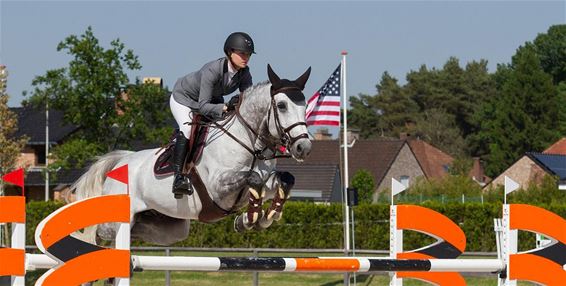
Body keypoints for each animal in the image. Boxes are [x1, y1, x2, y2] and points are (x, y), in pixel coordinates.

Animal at [71, 65, 316, 246]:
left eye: (304, 106)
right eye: (282, 106)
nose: (303, 147)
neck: (248, 142)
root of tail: (120, 162)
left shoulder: (262, 184)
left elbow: (284, 179)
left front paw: (261, 217)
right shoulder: (218, 186)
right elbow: (252, 178)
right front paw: (251, 218)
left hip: (166, 228)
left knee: (131, 234)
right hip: (114, 222)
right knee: (96, 234)